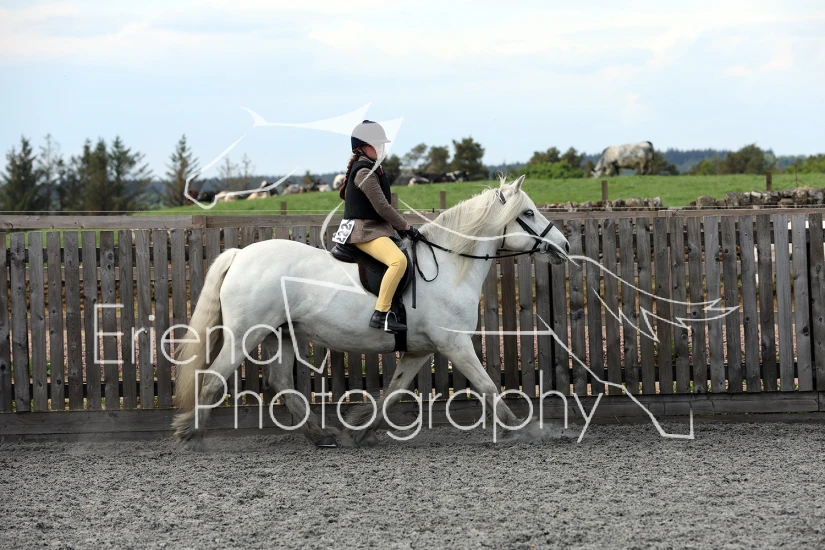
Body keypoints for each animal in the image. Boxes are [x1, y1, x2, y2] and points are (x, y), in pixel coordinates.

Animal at [172, 175, 570, 448]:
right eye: (529, 212)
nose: (564, 246)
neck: (448, 263)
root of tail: (240, 254)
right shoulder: (455, 345)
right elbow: (488, 386)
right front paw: (525, 429)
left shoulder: (419, 351)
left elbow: (392, 392)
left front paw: (361, 428)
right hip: (245, 334)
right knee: (214, 379)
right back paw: (191, 434)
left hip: (279, 334)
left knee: (282, 384)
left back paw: (322, 435)